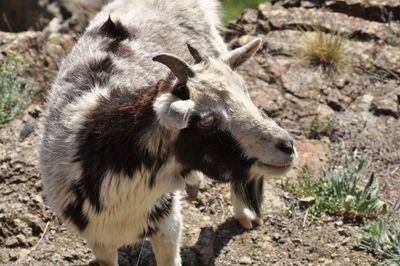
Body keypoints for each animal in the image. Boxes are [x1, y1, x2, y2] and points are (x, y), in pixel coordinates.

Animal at [39, 1, 296, 264]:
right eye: (206, 121)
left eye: (246, 95)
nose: (286, 146)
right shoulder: (99, 240)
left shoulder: (168, 225)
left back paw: (244, 212)